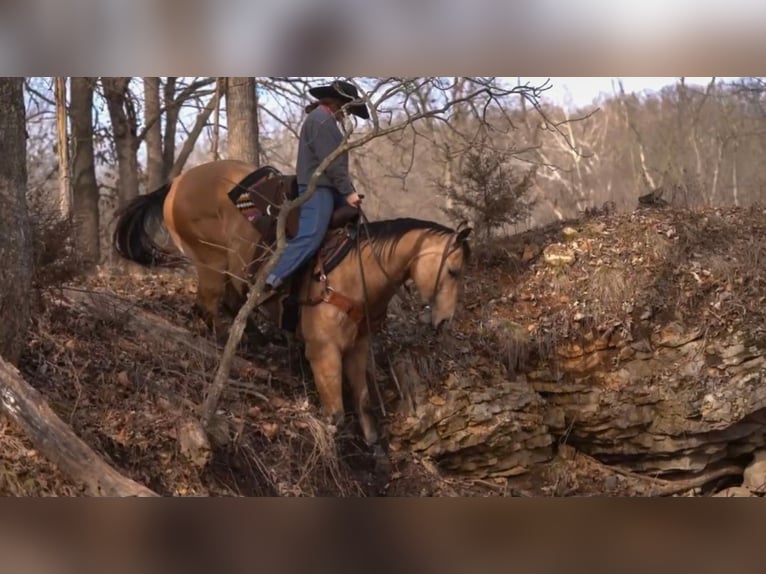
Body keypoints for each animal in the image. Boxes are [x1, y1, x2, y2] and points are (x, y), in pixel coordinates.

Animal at [112, 159, 472, 453]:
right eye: (453, 271)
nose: (444, 321)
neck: (355, 271)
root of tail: (178, 181)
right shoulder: (323, 351)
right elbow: (336, 413)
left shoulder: (358, 347)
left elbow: (364, 402)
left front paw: (375, 450)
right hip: (210, 262)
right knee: (208, 308)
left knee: (231, 301)